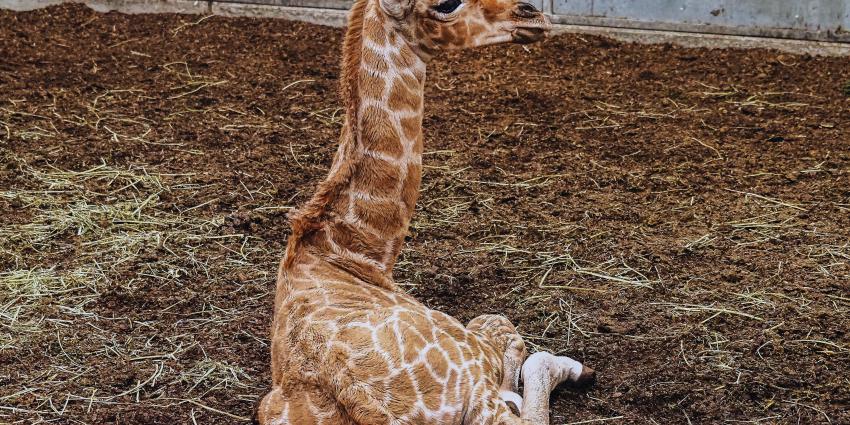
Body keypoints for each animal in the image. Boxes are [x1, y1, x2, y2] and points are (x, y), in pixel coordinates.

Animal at [258, 0, 595, 422]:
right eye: (445, 5)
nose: (533, 15)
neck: (354, 253)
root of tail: (368, 407)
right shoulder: (478, 354)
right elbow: (504, 328)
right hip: (474, 374)